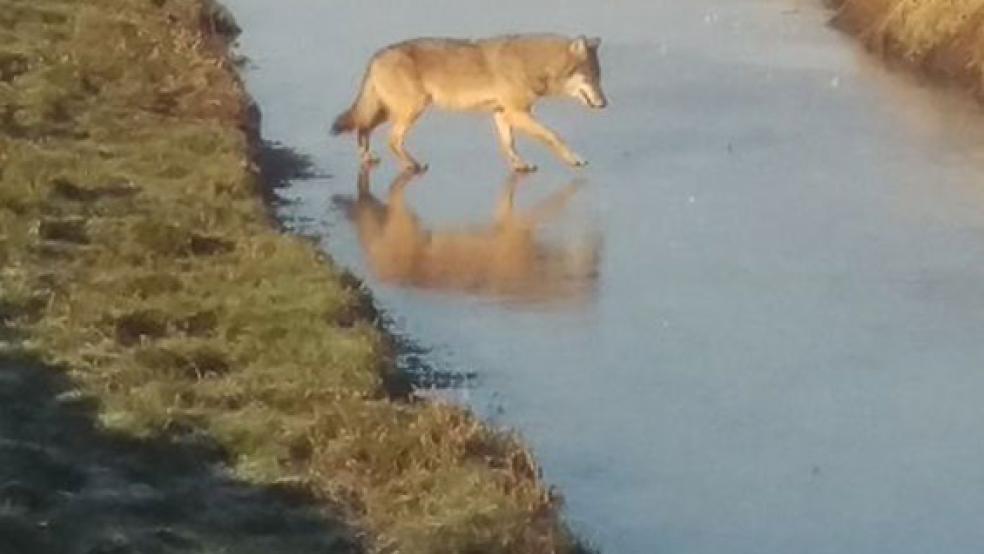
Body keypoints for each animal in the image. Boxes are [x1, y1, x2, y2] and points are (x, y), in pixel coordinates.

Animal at [330, 34, 607, 172]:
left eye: (599, 77)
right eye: (591, 78)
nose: (604, 103)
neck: (533, 64)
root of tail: (376, 55)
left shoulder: (503, 113)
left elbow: (509, 144)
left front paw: (519, 165)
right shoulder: (517, 113)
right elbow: (553, 136)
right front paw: (574, 159)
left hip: (389, 111)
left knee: (362, 128)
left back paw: (368, 158)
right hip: (410, 110)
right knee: (391, 139)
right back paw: (412, 165)